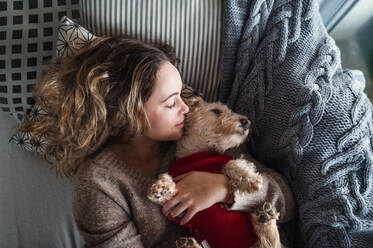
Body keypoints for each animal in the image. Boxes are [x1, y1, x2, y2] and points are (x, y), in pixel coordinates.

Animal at [147, 96, 280, 248]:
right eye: (216, 111)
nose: (246, 121)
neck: (198, 154)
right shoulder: (175, 210)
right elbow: (166, 186)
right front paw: (161, 189)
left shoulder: (227, 159)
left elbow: (231, 163)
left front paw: (250, 178)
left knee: (272, 241)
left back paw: (266, 216)